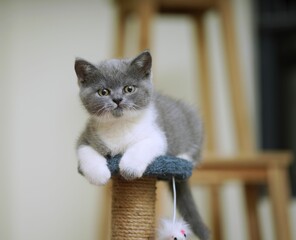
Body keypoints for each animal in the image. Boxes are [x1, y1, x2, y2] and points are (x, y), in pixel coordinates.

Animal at [73, 50, 209, 240]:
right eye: (103, 92)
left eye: (129, 89)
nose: (117, 99)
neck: (120, 124)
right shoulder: (87, 134)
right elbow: (84, 150)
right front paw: (98, 174)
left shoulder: (157, 136)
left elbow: (142, 145)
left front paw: (129, 168)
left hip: (194, 121)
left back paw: (183, 158)